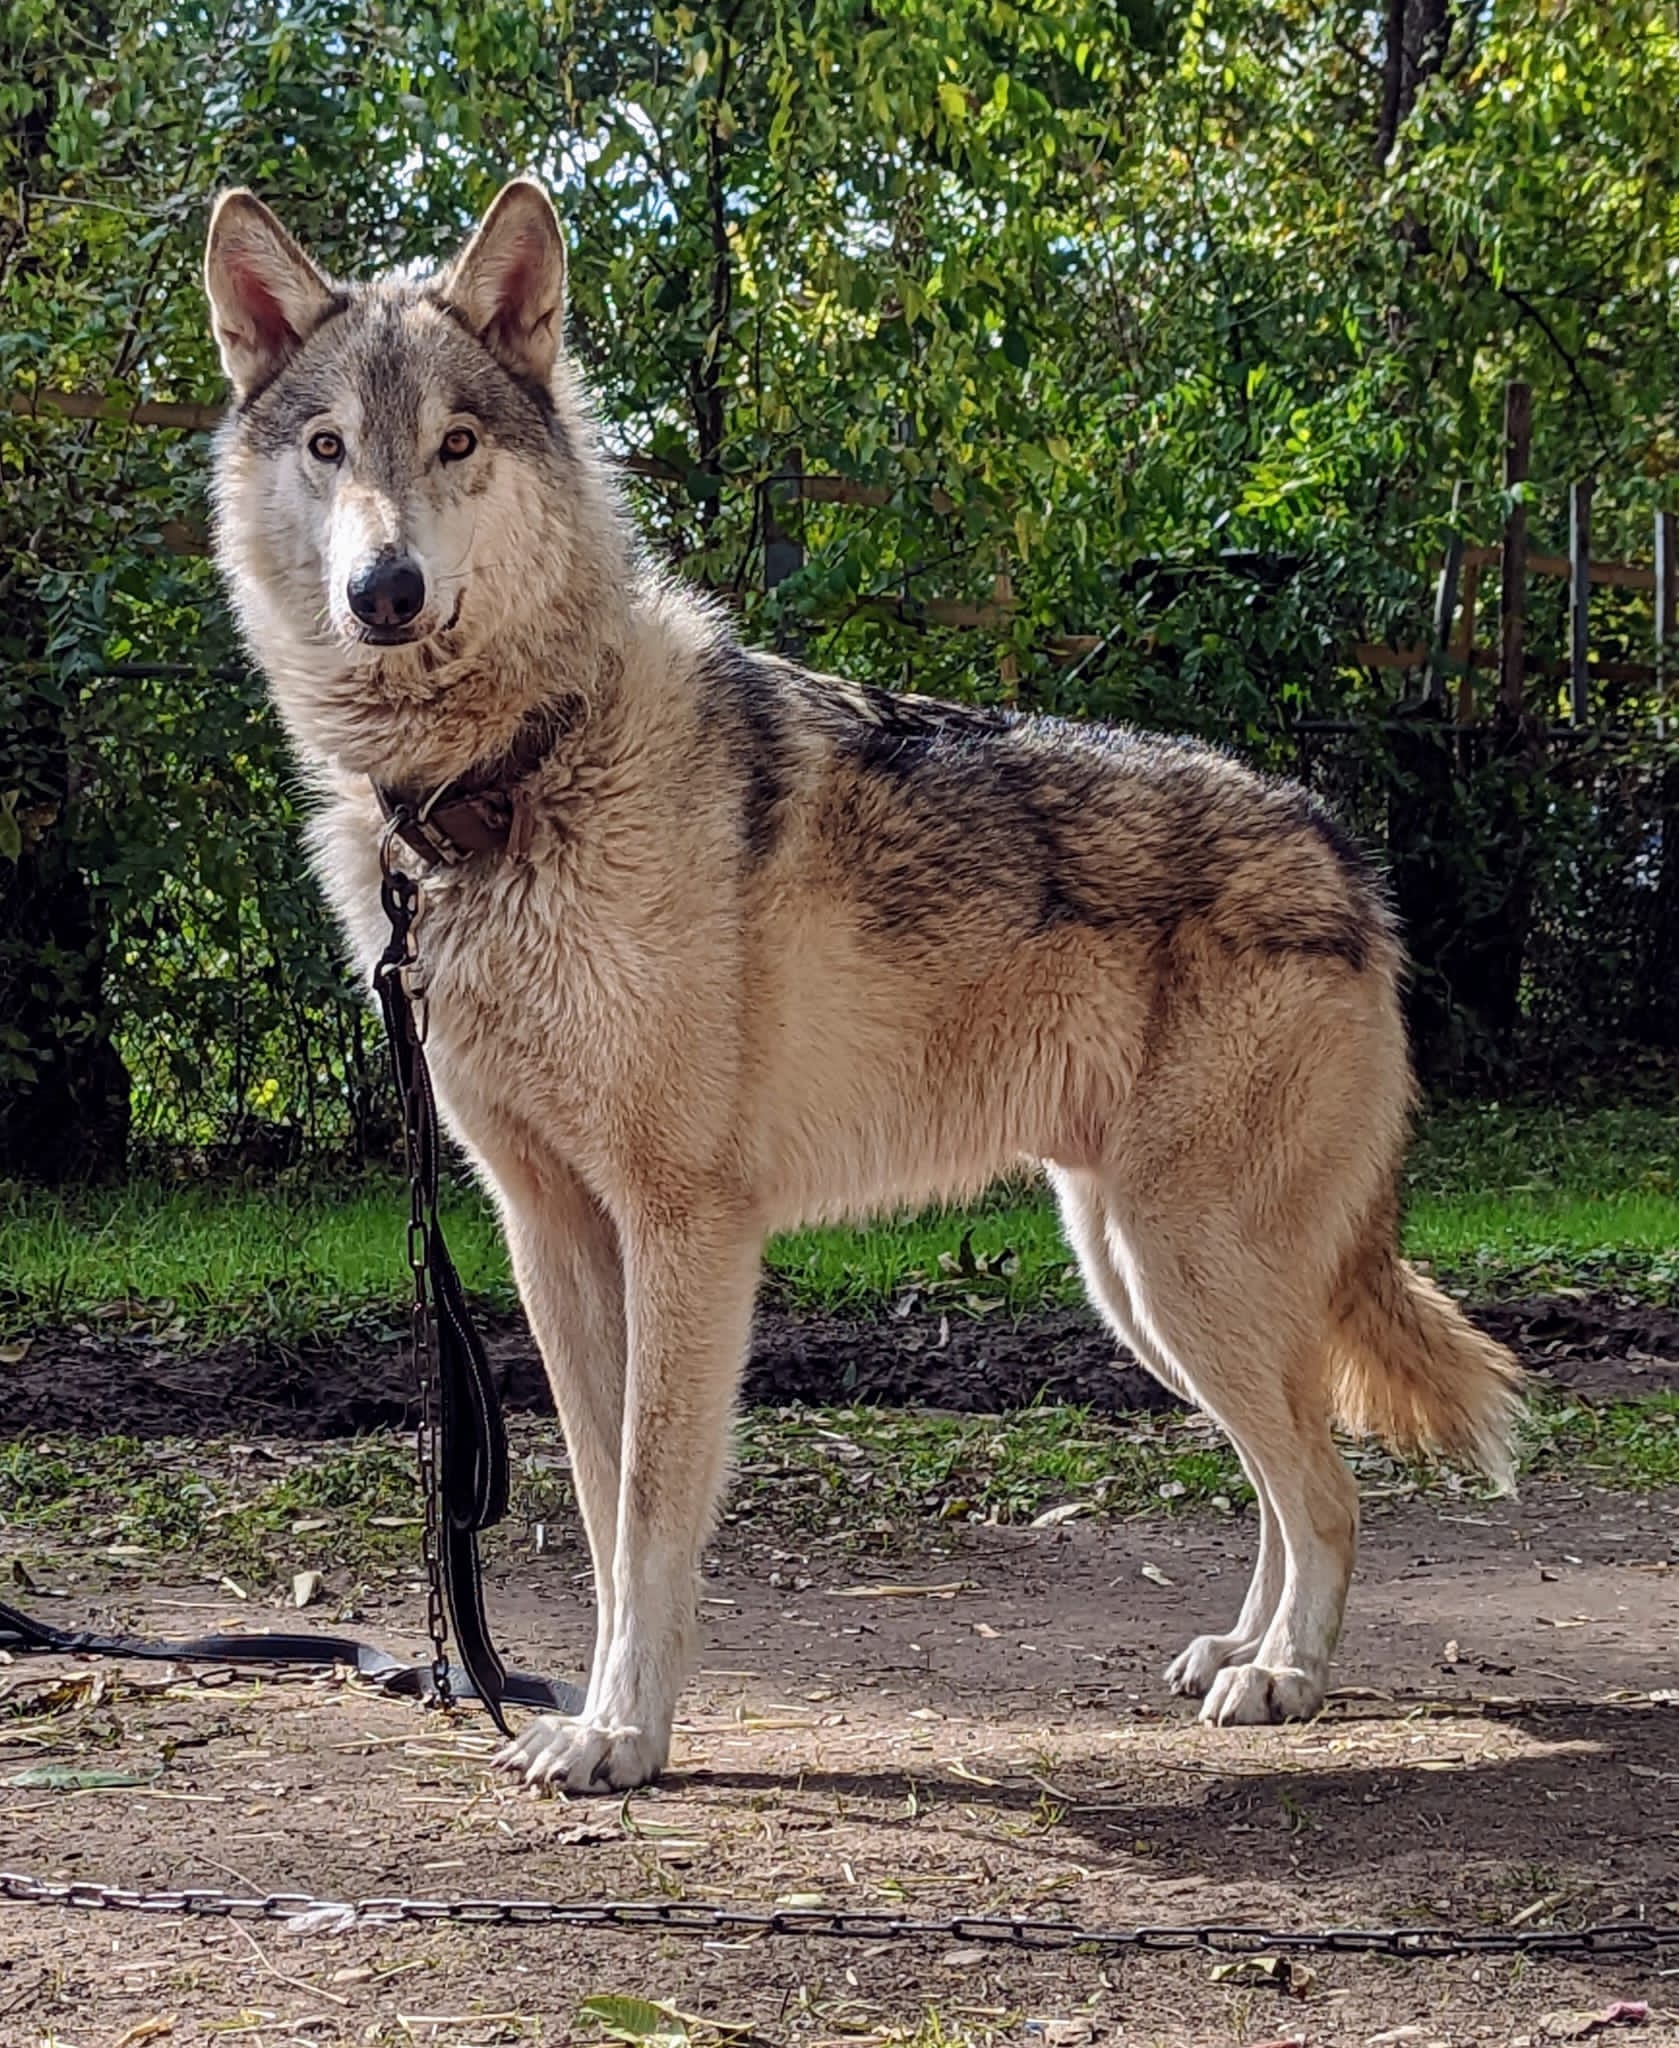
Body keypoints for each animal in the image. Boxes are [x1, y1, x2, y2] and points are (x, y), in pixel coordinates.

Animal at [203, 179, 1522, 1791]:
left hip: (1182, 1275)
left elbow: (650, 1509)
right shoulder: (549, 1235)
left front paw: (619, 1733)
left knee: (1329, 1488)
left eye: (455, 442)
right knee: (1288, 1481)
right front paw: (604, 1713)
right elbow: (600, 1515)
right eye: (330, 447)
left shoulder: (686, 1232)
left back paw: (1286, 1678)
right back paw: (1240, 1650)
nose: (382, 591)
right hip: (1140, 1289)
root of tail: (1349, 860)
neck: (504, 788)